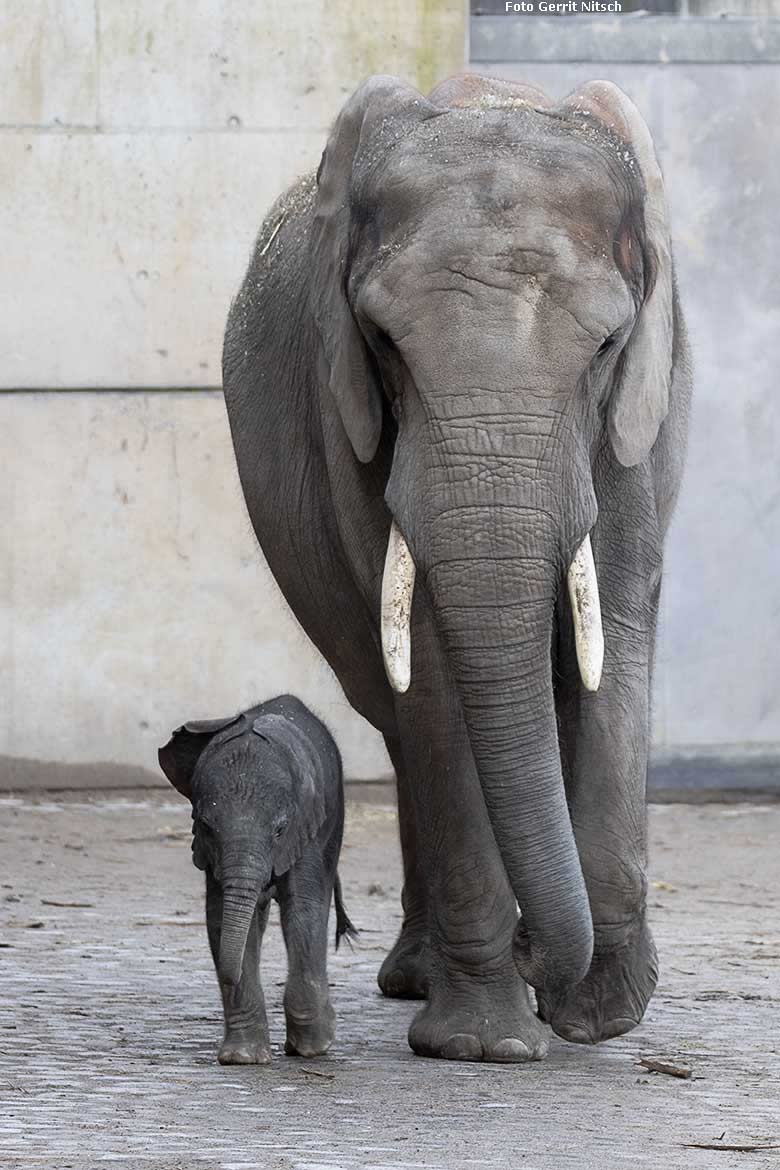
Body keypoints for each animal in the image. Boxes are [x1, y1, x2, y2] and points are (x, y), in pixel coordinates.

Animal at [159, 692, 353, 1071]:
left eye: (279, 830)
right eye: (205, 826)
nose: (226, 977)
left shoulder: (307, 827)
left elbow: (303, 910)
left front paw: (313, 1048)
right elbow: (221, 916)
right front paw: (243, 1059)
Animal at [219, 70, 687, 1062]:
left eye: (605, 346)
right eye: (383, 340)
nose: (539, 955)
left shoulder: (645, 409)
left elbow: (616, 635)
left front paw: (597, 1018)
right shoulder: (349, 414)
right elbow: (431, 665)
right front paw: (484, 1045)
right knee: (394, 711)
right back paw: (420, 976)